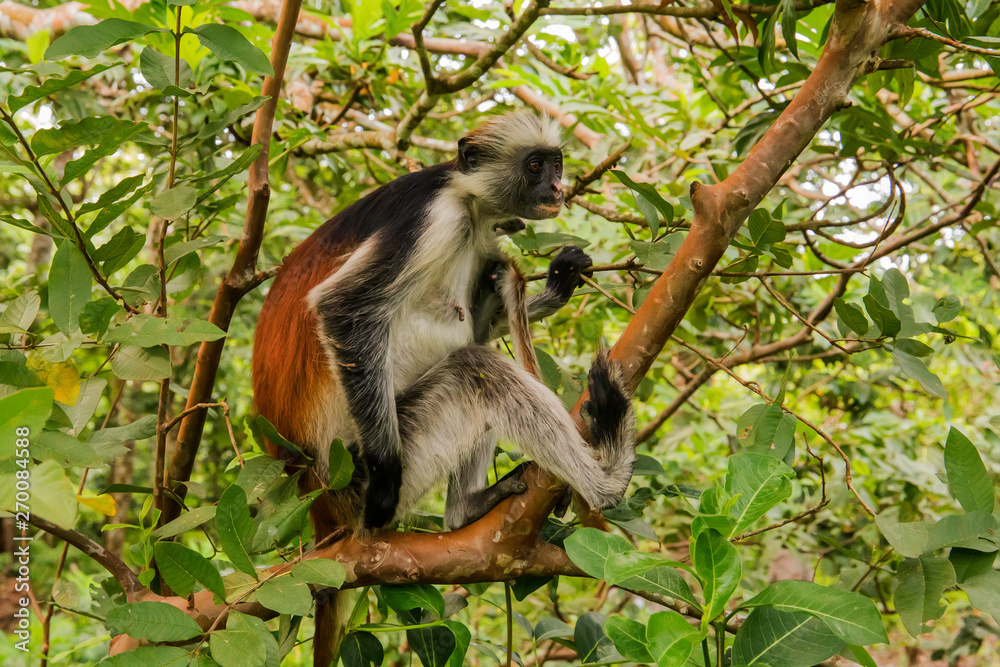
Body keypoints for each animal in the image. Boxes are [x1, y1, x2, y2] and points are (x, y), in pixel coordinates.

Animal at [254, 112, 636, 664]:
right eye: (535, 166)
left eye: (556, 164)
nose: (557, 188)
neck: (466, 196)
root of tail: (316, 499)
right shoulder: (435, 221)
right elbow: (342, 307)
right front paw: (386, 477)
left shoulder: (476, 236)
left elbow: (485, 307)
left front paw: (555, 284)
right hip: (360, 476)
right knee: (477, 368)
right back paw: (605, 484)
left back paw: (466, 509)